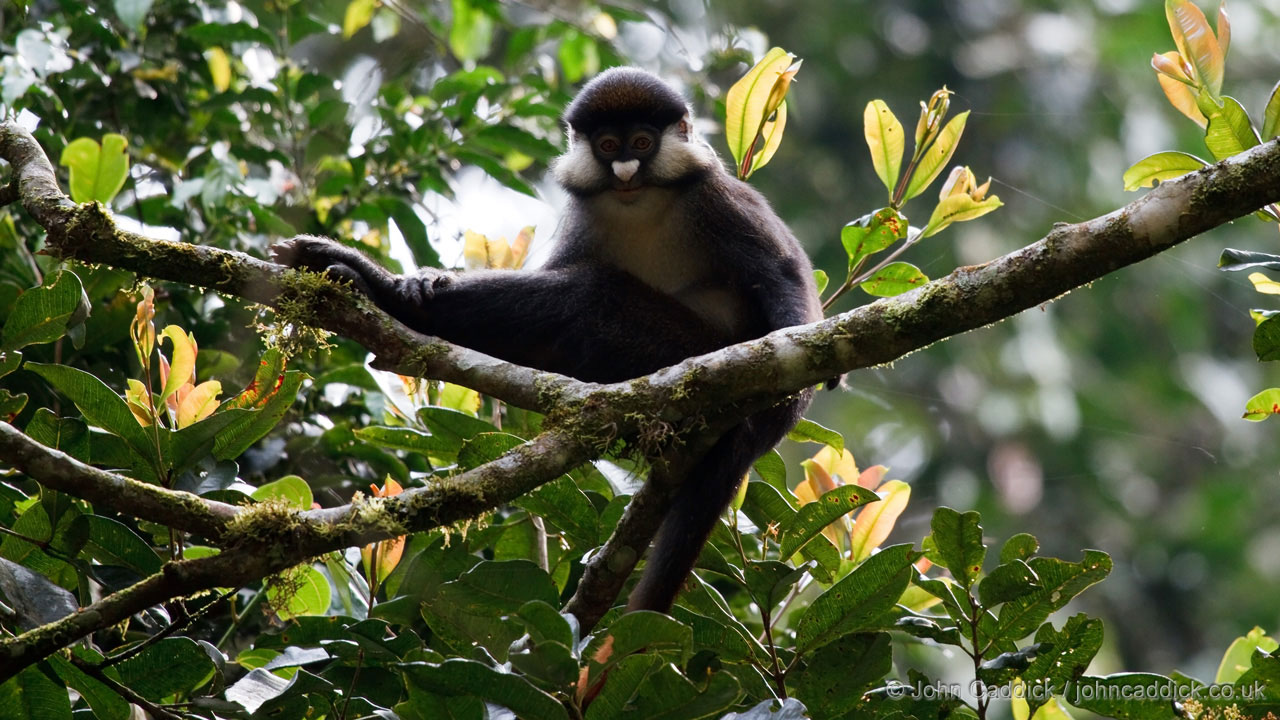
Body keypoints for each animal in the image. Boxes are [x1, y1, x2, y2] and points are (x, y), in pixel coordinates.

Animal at [270, 67, 823, 614]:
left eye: (643, 142)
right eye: (607, 145)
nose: (625, 171)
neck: (642, 203)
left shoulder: (719, 200)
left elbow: (783, 273)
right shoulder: (586, 219)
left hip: (685, 347)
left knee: (589, 294)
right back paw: (377, 287)